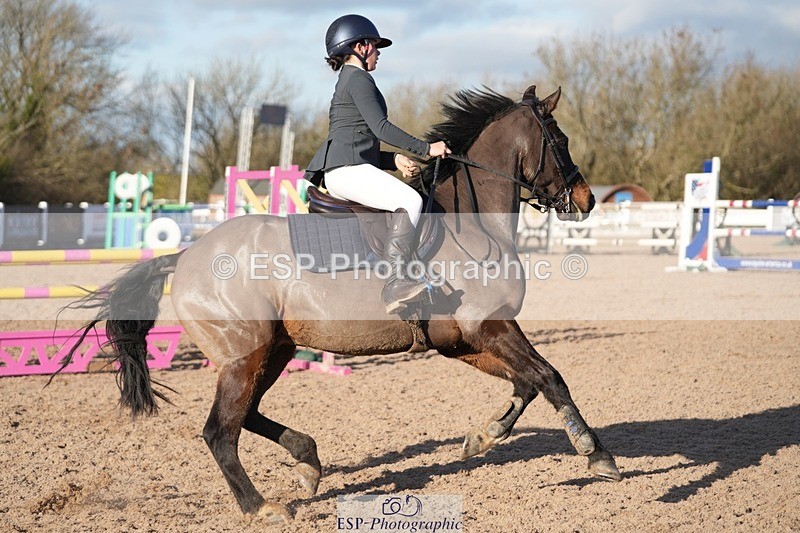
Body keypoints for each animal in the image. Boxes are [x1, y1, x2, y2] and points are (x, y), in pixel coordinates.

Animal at [64, 85, 620, 522]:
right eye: (561, 141)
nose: (588, 199)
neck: (473, 223)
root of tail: (183, 257)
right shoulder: (490, 328)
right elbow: (550, 377)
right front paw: (595, 454)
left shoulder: (464, 340)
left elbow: (526, 384)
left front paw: (484, 436)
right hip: (244, 357)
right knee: (220, 431)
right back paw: (261, 507)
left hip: (274, 350)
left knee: (247, 415)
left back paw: (307, 461)